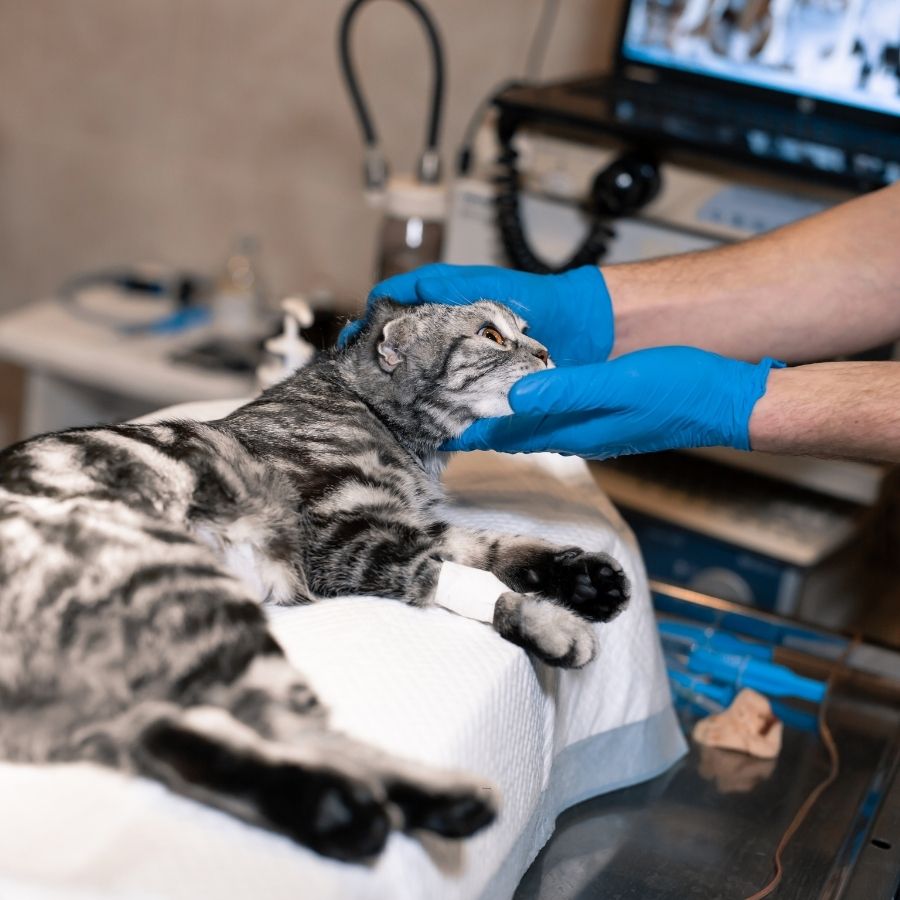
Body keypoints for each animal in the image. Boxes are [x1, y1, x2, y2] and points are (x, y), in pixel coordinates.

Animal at [0, 298, 628, 860]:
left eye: (524, 331)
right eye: (492, 335)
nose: (545, 353)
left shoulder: (406, 523)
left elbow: (493, 545)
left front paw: (584, 580)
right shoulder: (347, 540)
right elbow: (449, 575)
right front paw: (550, 622)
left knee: (181, 743)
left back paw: (337, 811)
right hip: (192, 594)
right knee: (293, 729)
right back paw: (432, 798)